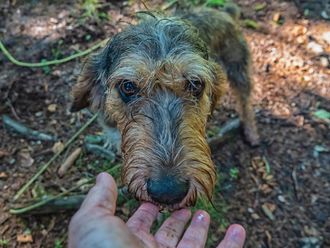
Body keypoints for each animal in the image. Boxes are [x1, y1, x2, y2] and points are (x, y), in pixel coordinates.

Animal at [71, 5, 260, 210]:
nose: (168, 191)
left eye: (195, 84)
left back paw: (251, 131)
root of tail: (224, 12)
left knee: (245, 101)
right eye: (127, 86)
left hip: (238, 68)